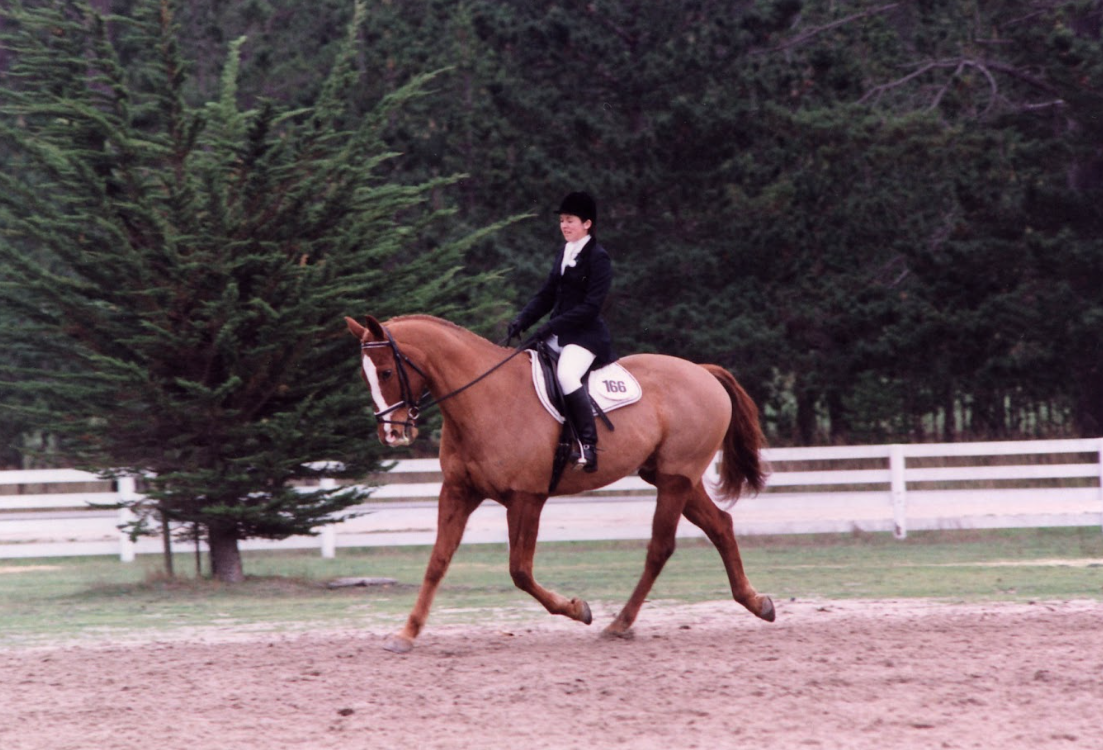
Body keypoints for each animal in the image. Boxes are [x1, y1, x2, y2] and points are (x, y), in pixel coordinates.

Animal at [346, 314, 775, 653]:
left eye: (386, 372)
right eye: (365, 376)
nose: (391, 434)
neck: (483, 398)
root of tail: (702, 371)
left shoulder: (527, 498)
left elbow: (519, 571)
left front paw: (578, 609)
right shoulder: (458, 492)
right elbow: (437, 562)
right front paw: (406, 634)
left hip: (674, 479)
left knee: (661, 547)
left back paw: (619, 624)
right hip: (673, 477)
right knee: (720, 525)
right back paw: (756, 603)